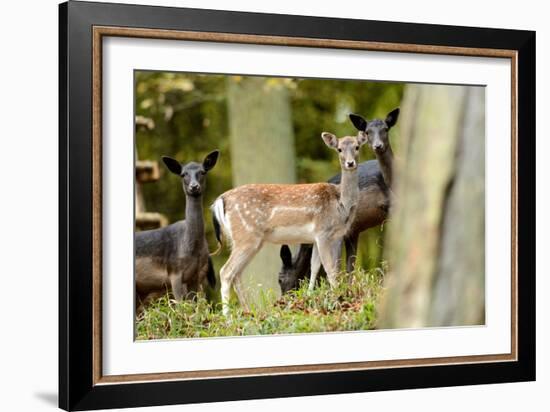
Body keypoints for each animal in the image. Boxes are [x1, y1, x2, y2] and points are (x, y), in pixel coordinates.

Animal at [213, 134, 368, 314]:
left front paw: (309, 297)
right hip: (246, 236)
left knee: (237, 274)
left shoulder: (318, 237)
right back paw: (228, 316)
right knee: (226, 272)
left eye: (357, 147)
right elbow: (329, 268)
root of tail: (220, 200)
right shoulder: (323, 232)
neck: (340, 205)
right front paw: (338, 297)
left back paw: (248, 311)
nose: (350, 163)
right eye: (339, 149)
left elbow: (315, 266)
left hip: (247, 241)